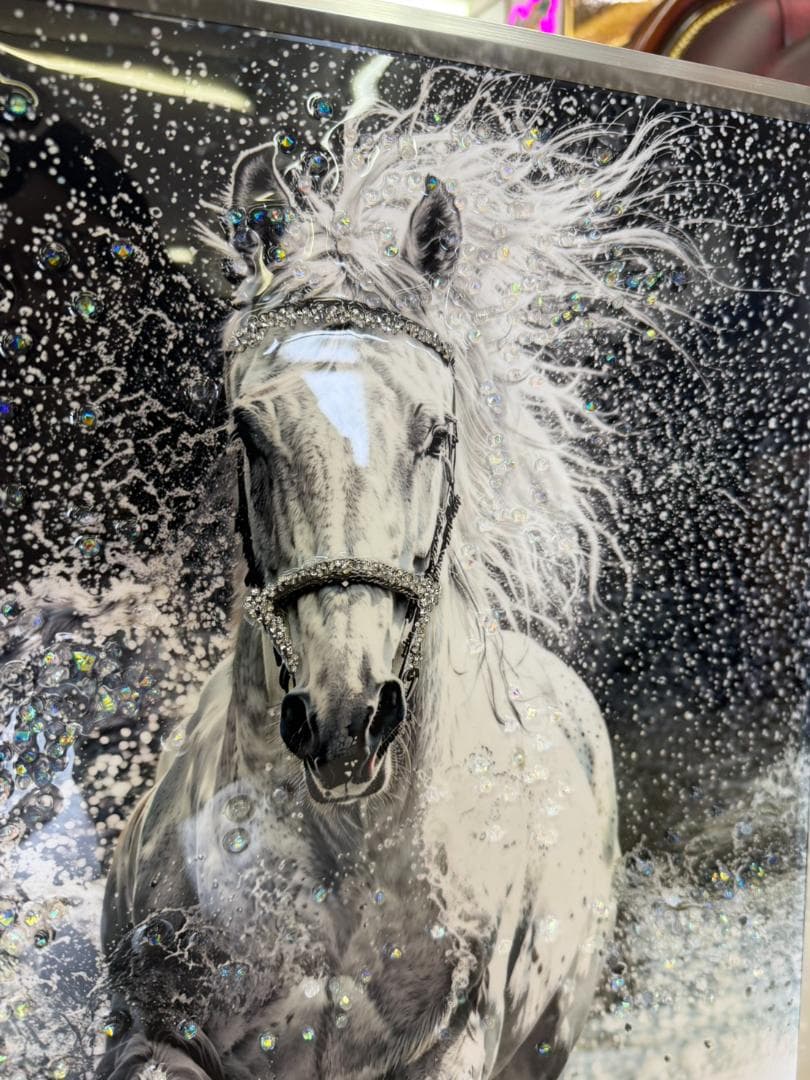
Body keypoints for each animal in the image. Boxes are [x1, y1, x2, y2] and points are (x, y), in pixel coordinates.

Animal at [96, 69, 691, 1080]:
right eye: (247, 431)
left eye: (438, 433)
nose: (346, 719)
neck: (340, 863)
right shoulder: (153, 1035)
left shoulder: (449, 1051)